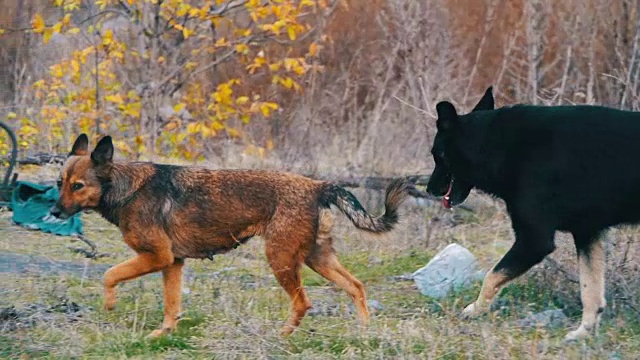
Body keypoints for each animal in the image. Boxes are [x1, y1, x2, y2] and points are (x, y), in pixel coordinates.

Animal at [48, 133, 410, 338]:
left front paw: (109, 305)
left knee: (303, 302)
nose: (53, 212)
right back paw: (363, 332)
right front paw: (162, 334)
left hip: (281, 260)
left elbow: (109, 274)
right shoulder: (172, 263)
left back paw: (283, 336)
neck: (125, 189)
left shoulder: (157, 257)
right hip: (316, 258)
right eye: (58, 183)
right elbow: (171, 305)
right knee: (356, 287)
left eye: (78, 186)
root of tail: (319, 186)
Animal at [428, 87, 640, 340]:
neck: (493, 144)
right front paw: (583, 333)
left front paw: (475, 309)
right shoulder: (587, 233)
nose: (428, 189)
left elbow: (491, 276)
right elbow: (590, 290)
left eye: (436, 154)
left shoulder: (534, 240)